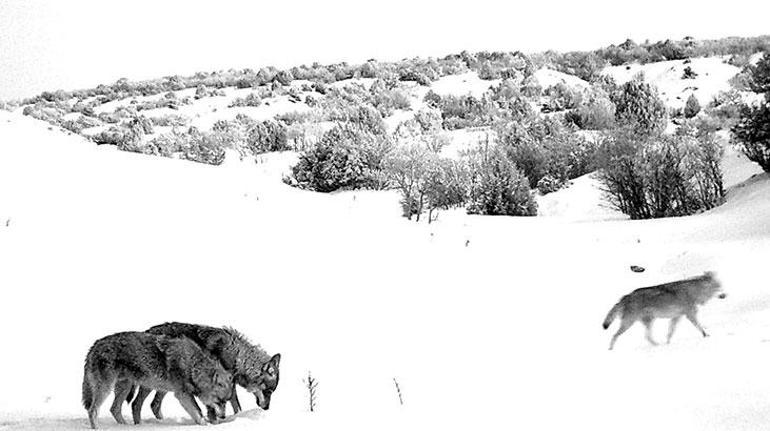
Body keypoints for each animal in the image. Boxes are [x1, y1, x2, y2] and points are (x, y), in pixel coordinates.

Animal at [80, 330, 234, 428]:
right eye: (219, 401)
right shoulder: (182, 395)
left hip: (126, 387)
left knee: (115, 409)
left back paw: (127, 427)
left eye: (226, 402)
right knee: (93, 410)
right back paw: (98, 428)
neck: (192, 365)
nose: (223, 417)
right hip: (106, 389)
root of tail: (94, 346)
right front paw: (206, 425)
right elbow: (198, 412)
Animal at [124, 322, 280, 424]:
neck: (235, 356)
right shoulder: (213, 383)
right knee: (137, 404)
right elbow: (220, 405)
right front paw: (216, 421)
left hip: (166, 385)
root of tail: (146, 330)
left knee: (154, 405)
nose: (267, 409)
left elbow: (234, 404)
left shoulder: (228, 384)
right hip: (154, 383)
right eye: (269, 391)